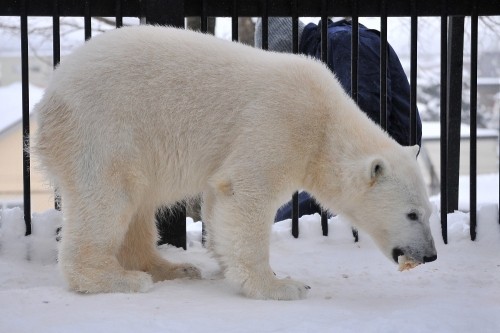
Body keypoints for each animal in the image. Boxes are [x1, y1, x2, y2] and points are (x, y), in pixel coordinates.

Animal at [33, 26, 436, 300]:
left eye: (428, 212)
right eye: (412, 214)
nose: (431, 255)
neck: (325, 121)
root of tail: (50, 96)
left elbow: (219, 199)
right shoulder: (277, 123)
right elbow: (246, 195)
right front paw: (282, 285)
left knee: (139, 206)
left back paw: (173, 267)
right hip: (107, 130)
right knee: (109, 197)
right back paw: (119, 279)